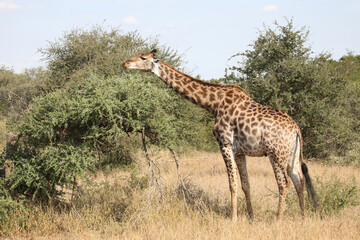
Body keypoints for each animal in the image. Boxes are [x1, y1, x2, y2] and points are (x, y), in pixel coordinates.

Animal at [122, 49, 316, 221]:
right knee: (299, 180)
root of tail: (296, 129)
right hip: (291, 155)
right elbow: (246, 185)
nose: (125, 63)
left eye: (143, 57)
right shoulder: (240, 151)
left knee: (284, 183)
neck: (213, 104)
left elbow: (232, 184)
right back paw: (304, 218)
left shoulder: (225, 144)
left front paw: (233, 218)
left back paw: (278, 220)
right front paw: (251, 218)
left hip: (276, 154)